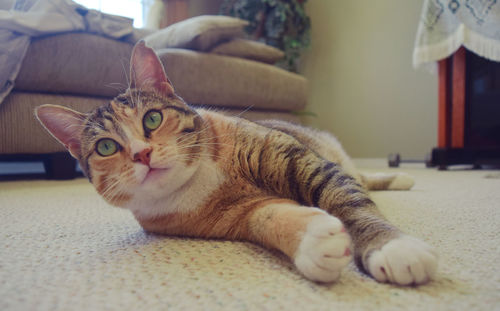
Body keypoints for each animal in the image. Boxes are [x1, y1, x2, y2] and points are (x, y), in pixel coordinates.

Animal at [35, 40, 436, 286]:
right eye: (105, 146)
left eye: (152, 118)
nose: (141, 154)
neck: (199, 179)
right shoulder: (237, 215)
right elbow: (268, 217)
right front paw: (313, 241)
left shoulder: (294, 159)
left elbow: (349, 201)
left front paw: (391, 246)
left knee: (357, 177)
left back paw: (400, 178)